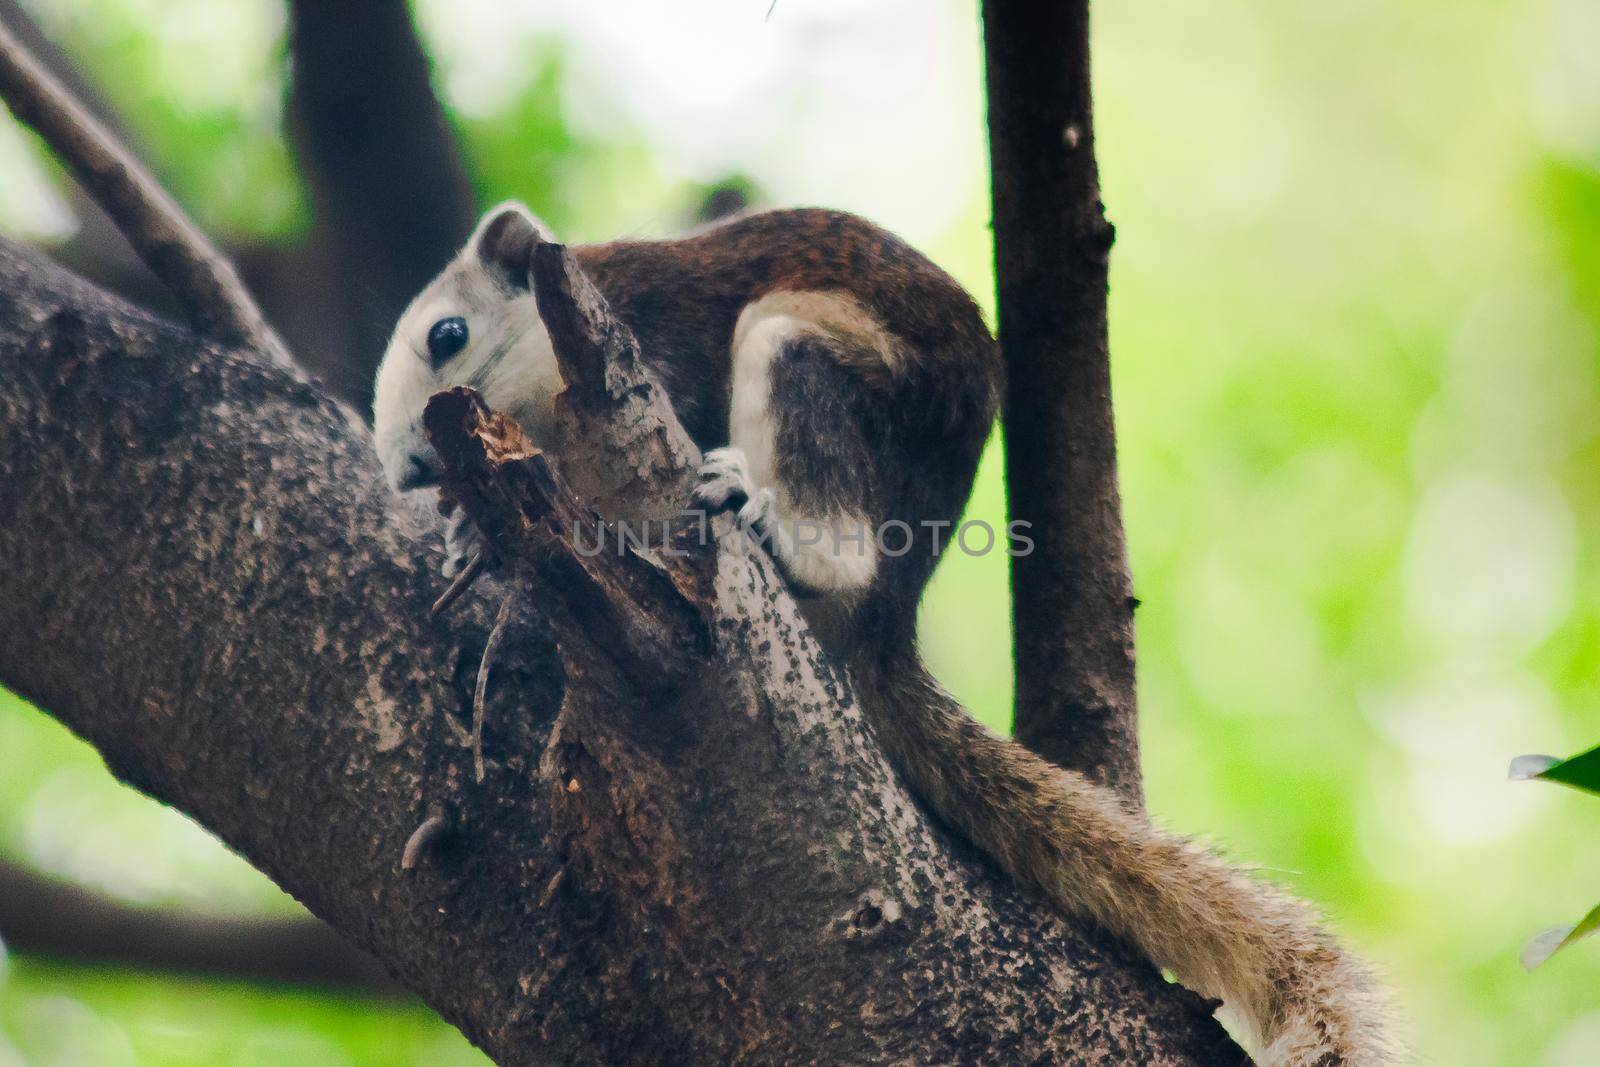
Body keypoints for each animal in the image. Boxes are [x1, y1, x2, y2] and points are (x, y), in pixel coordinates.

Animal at [368, 204, 1395, 1062]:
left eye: (447, 335)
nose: (410, 470)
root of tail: (891, 620)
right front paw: (472, 542)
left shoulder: (653, 343)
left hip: (809, 360)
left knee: (839, 535)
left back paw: (771, 523)